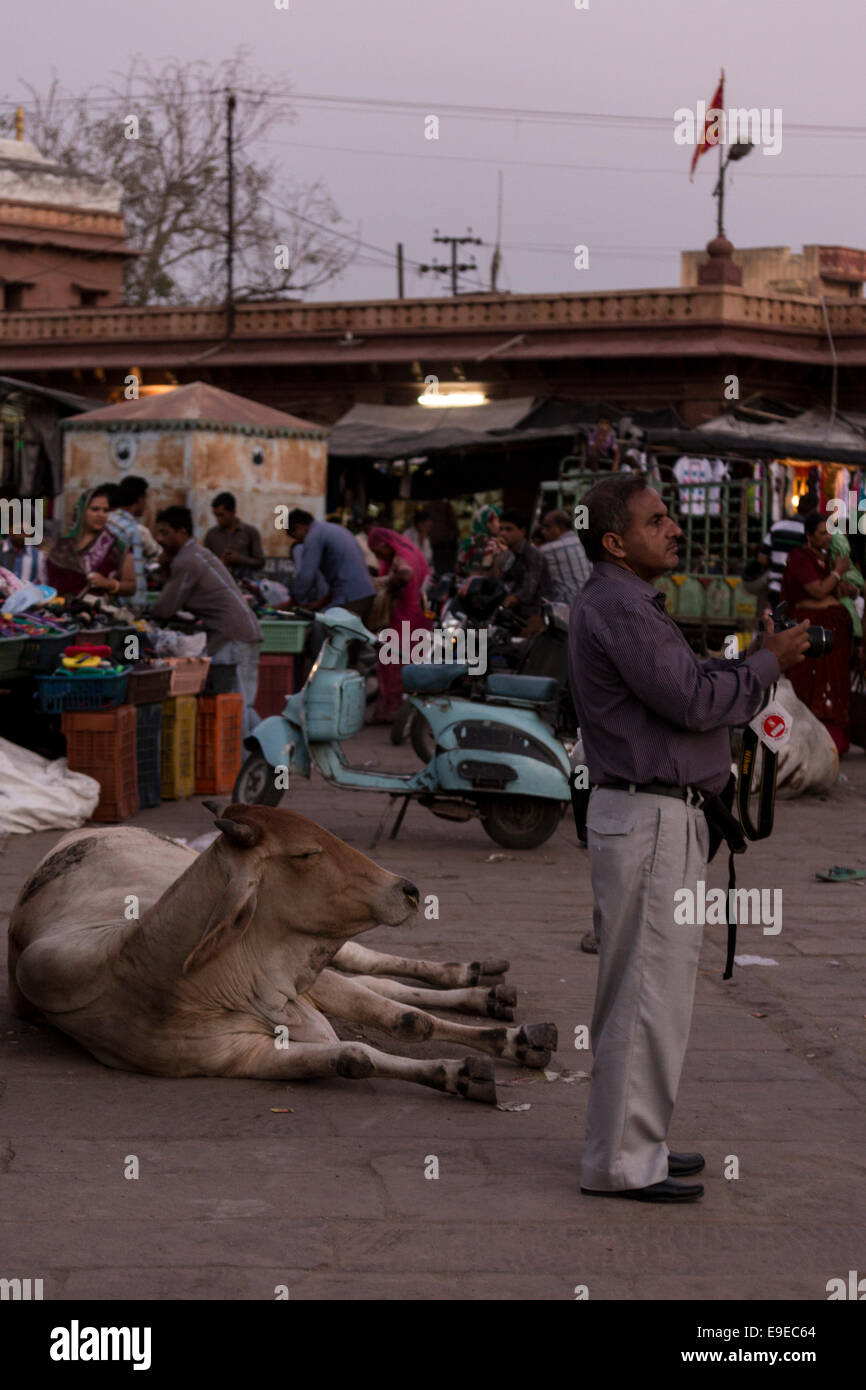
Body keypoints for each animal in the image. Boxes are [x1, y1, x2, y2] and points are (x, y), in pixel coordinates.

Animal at [8, 806, 556, 1106]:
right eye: (306, 853)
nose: (409, 889)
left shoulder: (303, 983)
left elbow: (407, 1020)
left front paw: (508, 1043)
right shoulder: (244, 1058)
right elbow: (354, 1057)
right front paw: (457, 1074)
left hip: (334, 963)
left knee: (374, 969)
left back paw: (479, 980)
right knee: (377, 980)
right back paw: (486, 993)